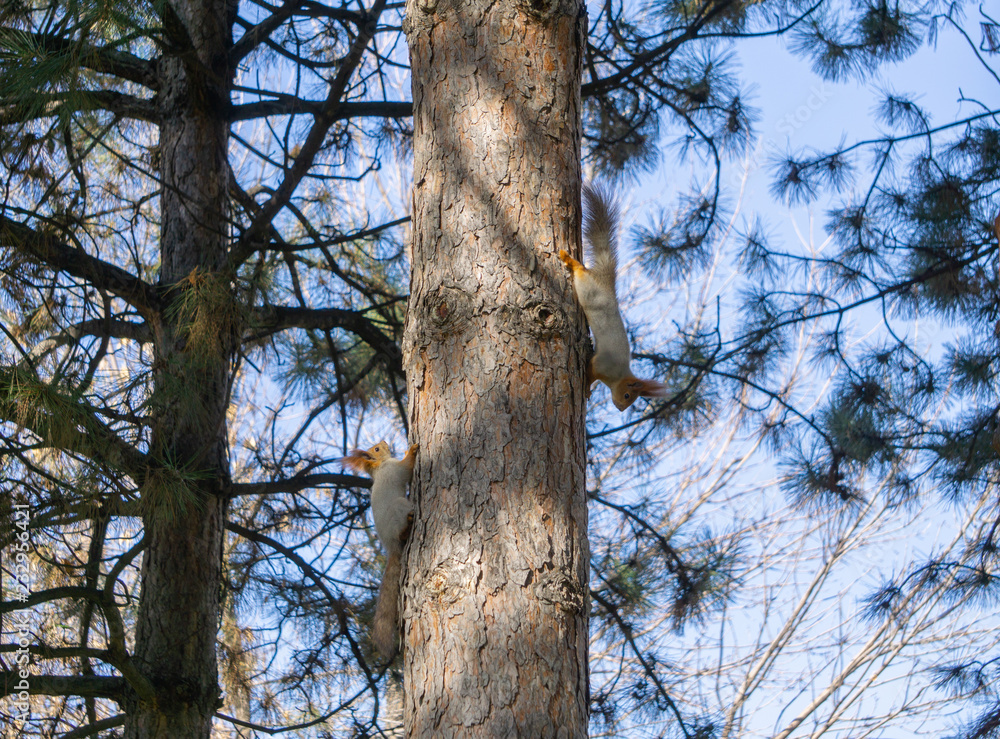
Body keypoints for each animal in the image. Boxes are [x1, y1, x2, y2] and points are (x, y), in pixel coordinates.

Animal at [340, 441, 417, 660]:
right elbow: (406, 468)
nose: (384, 442)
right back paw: (407, 526)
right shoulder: (394, 469)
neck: (380, 466)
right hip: (400, 507)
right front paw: (412, 450)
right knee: (402, 531)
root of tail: (391, 545)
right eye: (376, 449)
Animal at [559, 184, 669, 411]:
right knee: (580, 271)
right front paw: (586, 390)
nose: (620, 408)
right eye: (627, 395)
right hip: (588, 289)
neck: (619, 375)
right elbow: (590, 373)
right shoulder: (602, 364)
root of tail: (605, 282)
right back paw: (569, 259)